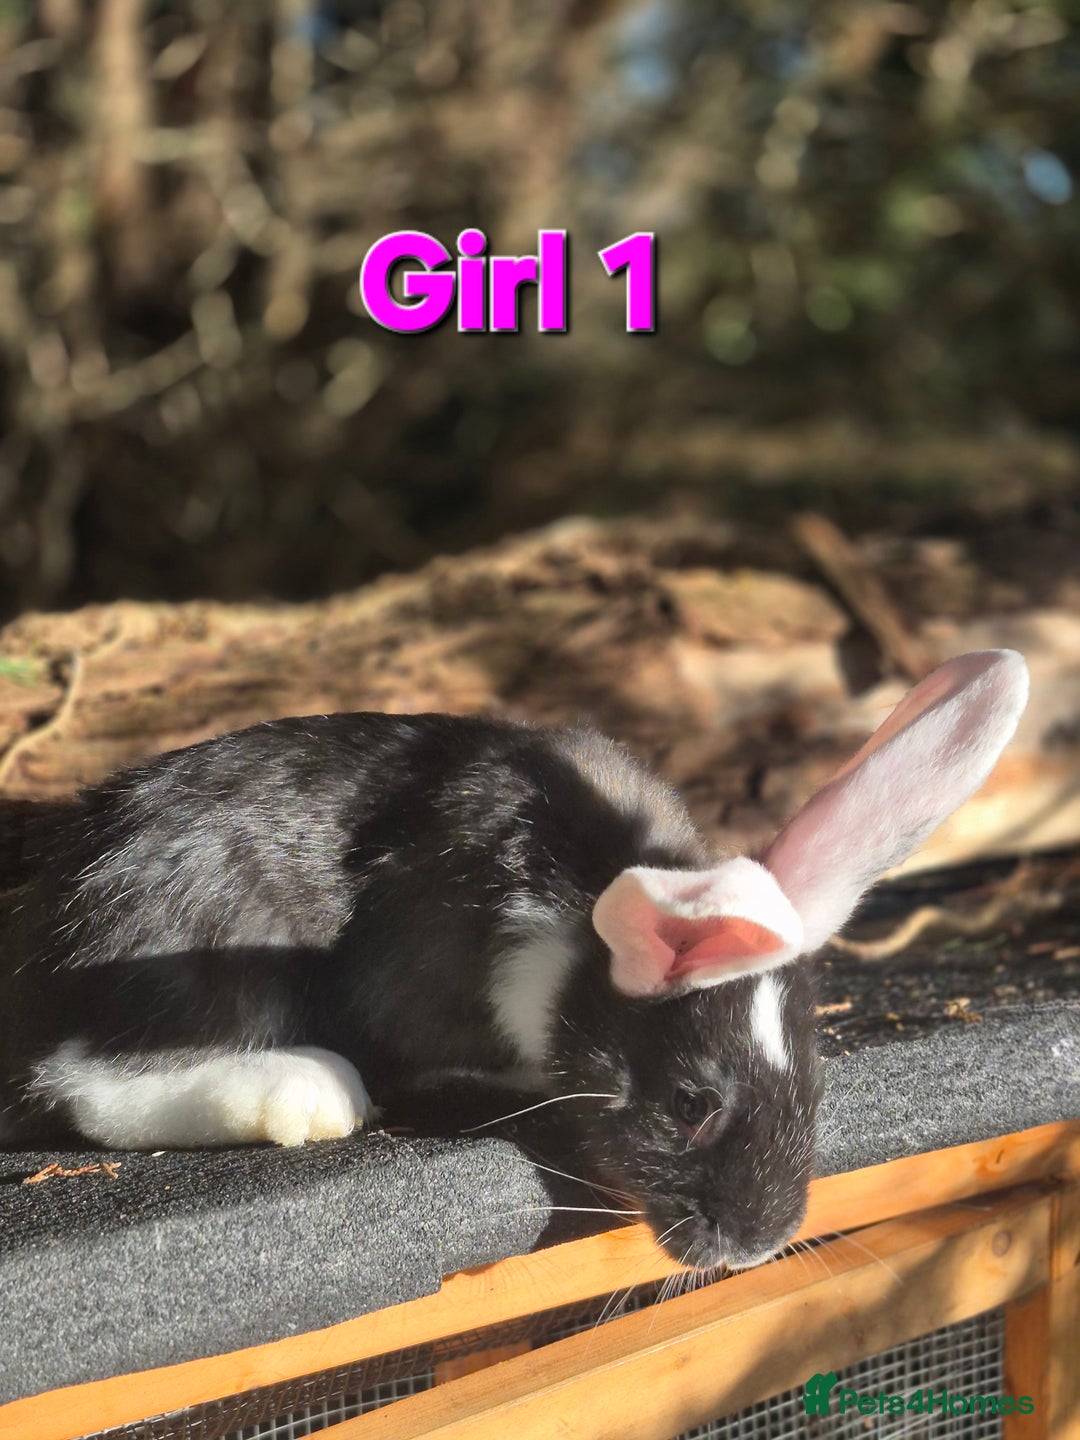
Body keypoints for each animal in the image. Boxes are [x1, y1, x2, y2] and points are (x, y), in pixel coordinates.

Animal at [0, 649, 1028, 1271]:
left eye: (816, 1091)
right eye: (691, 1103)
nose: (753, 1243)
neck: (583, 921)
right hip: (205, 951)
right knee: (87, 1082)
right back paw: (309, 1092)